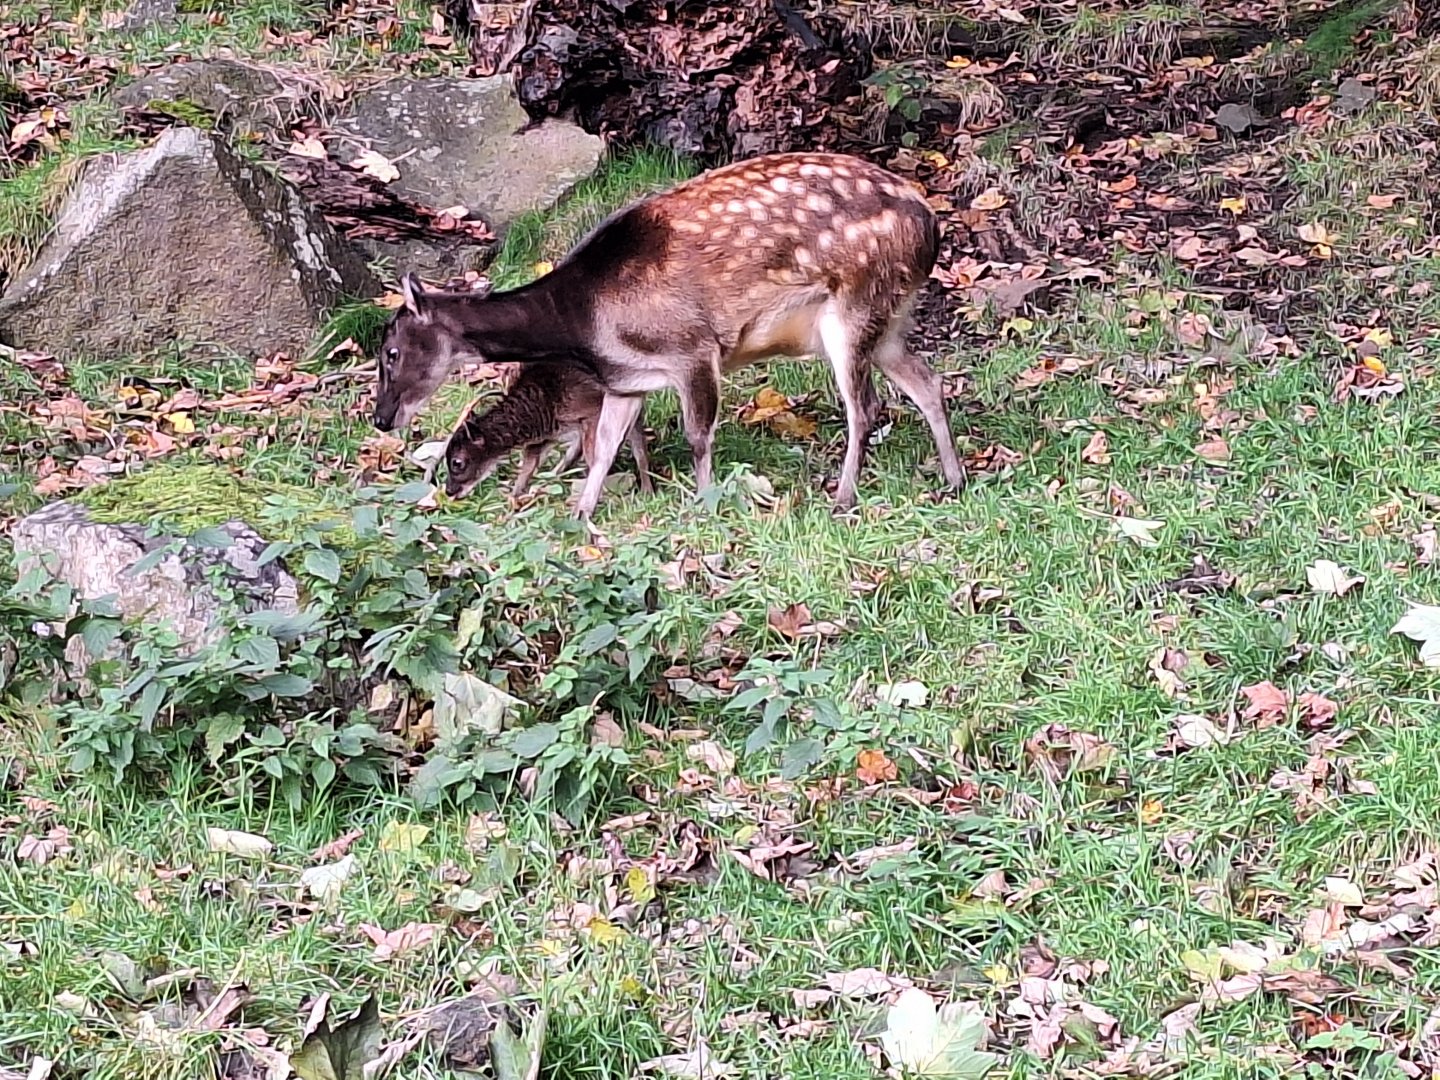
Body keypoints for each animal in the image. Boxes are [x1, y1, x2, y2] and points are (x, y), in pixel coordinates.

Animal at [443, 360, 652, 500]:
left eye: (457, 463)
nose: (449, 491)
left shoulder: (591, 410)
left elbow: (595, 455)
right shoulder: (544, 437)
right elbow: (529, 465)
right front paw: (513, 496)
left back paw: (646, 490)